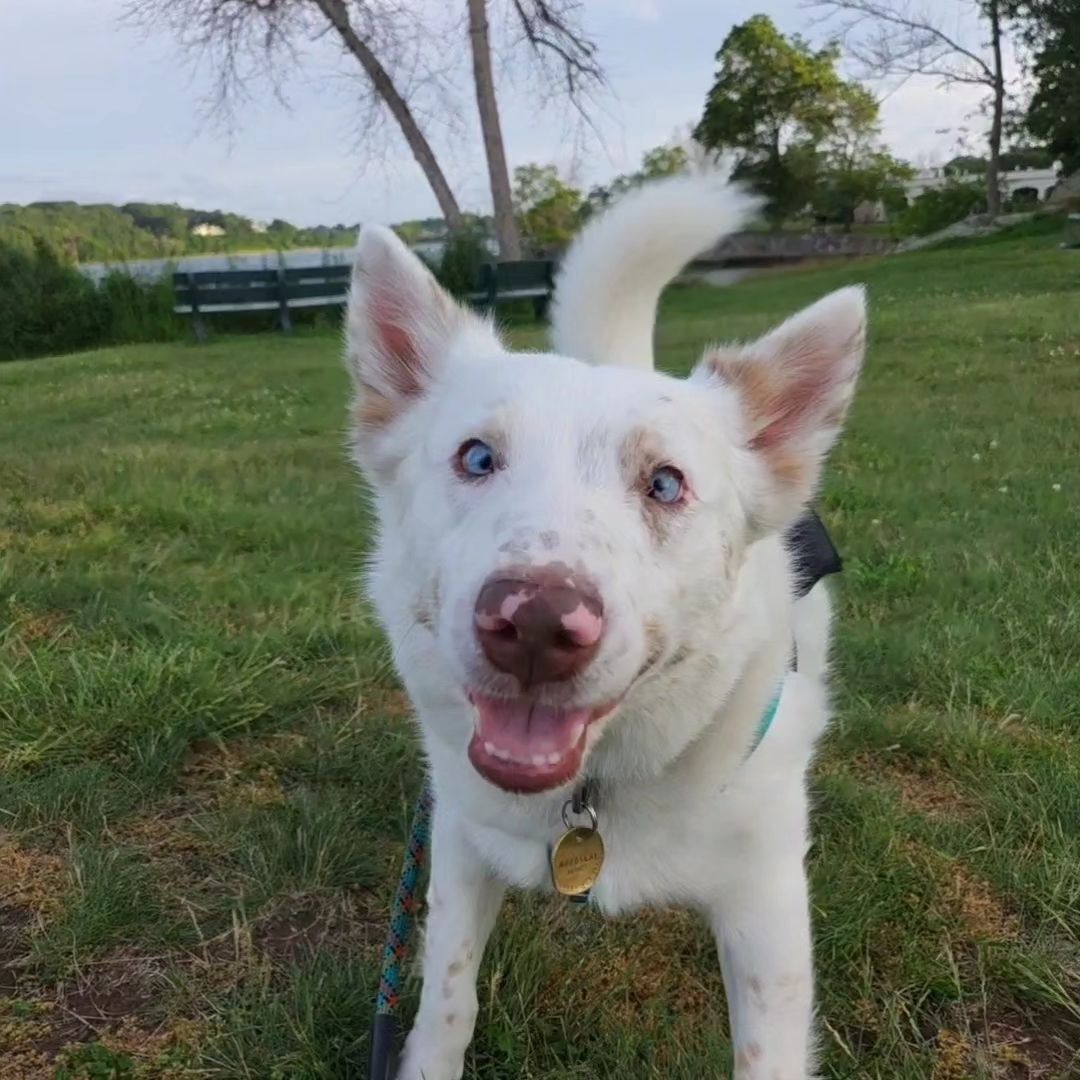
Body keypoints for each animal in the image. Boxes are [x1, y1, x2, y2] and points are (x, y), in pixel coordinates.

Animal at [345, 172, 868, 1075]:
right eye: (476, 457)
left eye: (665, 484)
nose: (535, 624)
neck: (589, 798)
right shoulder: (457, 845)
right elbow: (447, 998)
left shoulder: (766, 910)